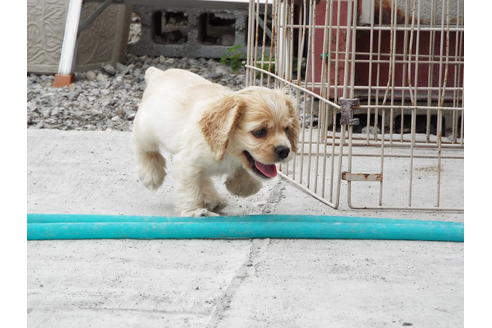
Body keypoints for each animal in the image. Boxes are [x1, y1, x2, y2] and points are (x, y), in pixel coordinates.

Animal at [133, 67, 300, 217]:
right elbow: (189, 188)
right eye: (259, 132)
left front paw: (241, 186)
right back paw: (151, 175)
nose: (284, 150)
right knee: (142, 146)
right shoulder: (187, 163)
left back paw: (214, 200)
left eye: (286, 129)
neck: (227, 151)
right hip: (146, 130)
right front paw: (195, 211)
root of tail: (158, 73)